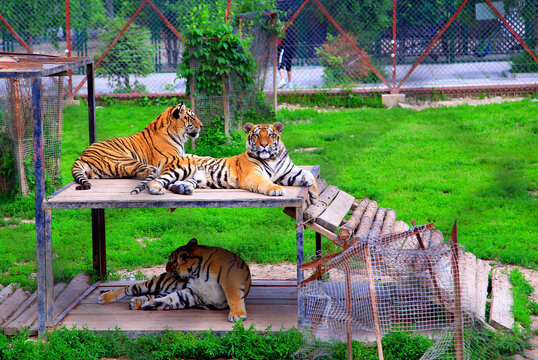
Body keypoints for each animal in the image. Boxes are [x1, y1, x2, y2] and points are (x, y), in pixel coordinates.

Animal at [71, 102, 201, 190]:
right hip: (125, 159)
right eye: (192, 117)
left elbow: (194, 156)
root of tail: (81, 156)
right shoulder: (171, 157)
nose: (202, 125)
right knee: (149, 171)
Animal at [97, 238, 251, 322]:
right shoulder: (194, 292)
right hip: (155, 282)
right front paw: (154, 304)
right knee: (130, 288)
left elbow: (233, 296)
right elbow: (173, 297)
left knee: (150, 294)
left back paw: (138, 302)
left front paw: (237, 315)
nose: (166, 269)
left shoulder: (231, 278)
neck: (197, 272)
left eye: (171, 262)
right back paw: (106, 297)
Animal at [128, 121, 316, 200]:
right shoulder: (253, 175)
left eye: (270, 135)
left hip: (192, 178)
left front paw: (313, 192)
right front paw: (276, 189)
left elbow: (308, 174)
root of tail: (169, 159)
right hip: (179, 169)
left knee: (176, 184)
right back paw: (157, 190)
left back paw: (183, 189)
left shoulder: (288, 172)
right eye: (256, 135)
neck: (272, 158)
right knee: (156, 182)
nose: (264, 145)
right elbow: (265, 182)